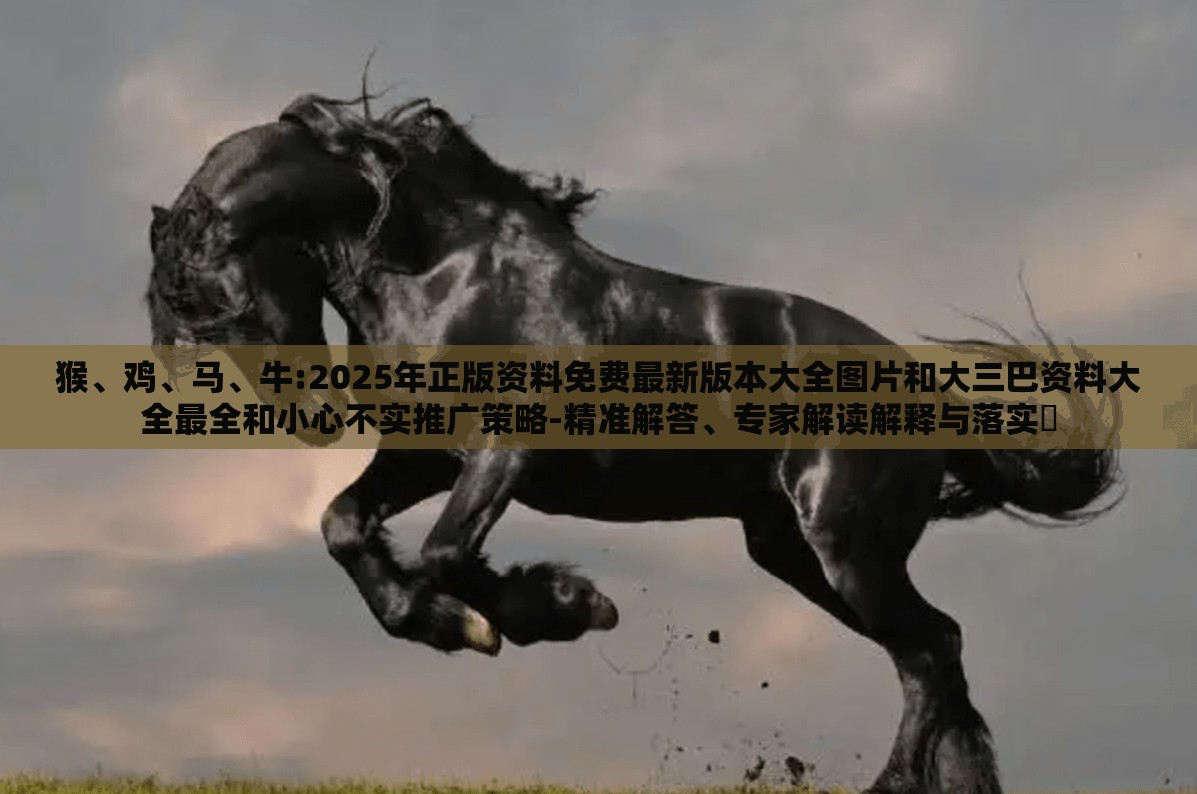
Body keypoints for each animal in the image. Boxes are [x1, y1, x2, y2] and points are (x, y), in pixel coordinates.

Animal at [144, 84, 1123, 794]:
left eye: (214, 304)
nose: (310, 416)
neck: (445, 270)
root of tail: (924, 391)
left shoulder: (506, 451)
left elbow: (446, 552)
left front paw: (556, 608)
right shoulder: (424, 456)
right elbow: (348, 529)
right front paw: (461, 624)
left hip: (847, 549)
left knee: (928, 651)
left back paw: (893, 787)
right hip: (792, 553)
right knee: (934, 650)